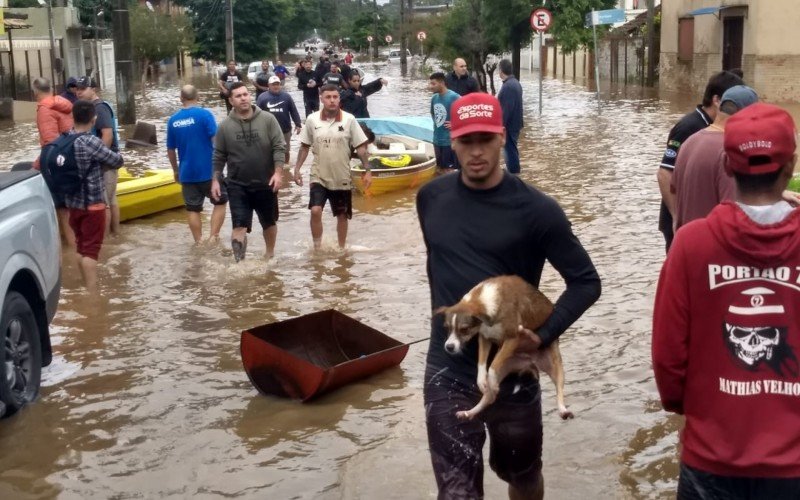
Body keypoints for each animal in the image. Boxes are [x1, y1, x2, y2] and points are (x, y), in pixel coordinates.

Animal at [438, 276, 576, 420]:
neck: (484, 300)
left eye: (464, 329)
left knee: (559, 389)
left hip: (556, 366)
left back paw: (563, 410)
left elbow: (492, 367)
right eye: (447, 328)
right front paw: (481, 380)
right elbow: (482, 363)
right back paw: (469, 412)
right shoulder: (484, 338)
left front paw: (490, 380)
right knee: (488, 399)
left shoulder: (512, 339)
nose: (449, 347)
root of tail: (529, 361)